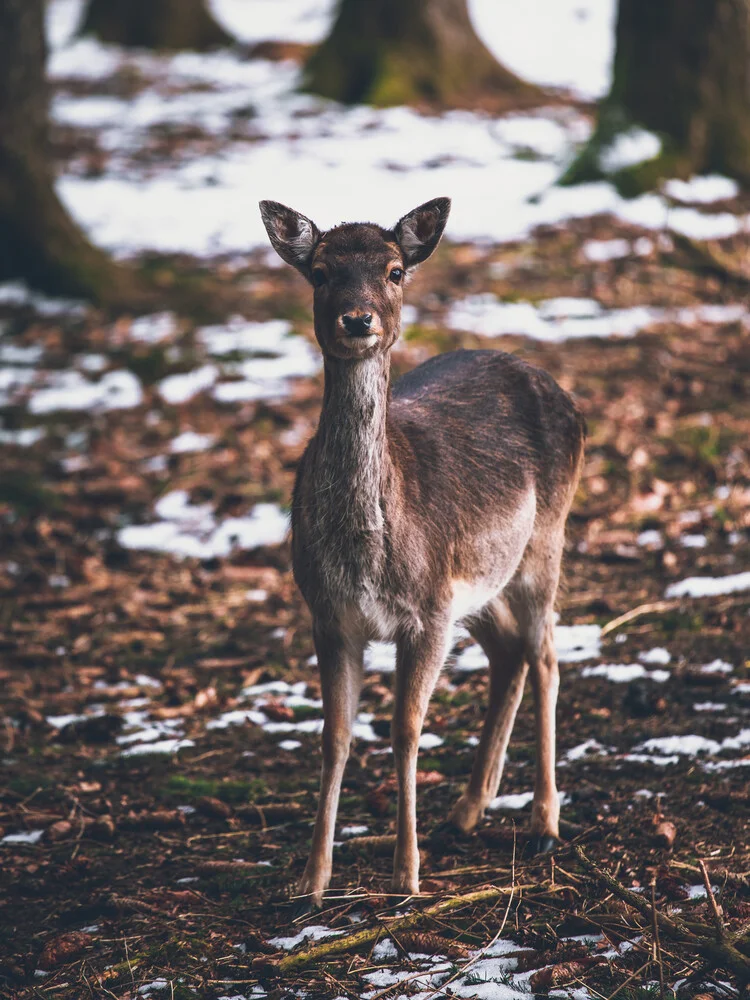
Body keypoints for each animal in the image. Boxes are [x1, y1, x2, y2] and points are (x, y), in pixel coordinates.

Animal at [262, 195, 592, 908]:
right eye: (320, 271)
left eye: (393, 270)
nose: (357, 319)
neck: (364, 557)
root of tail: (564, 393)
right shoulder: (328, 615)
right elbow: (334, 735)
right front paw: (311, 880)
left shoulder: (427, 613)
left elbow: (405, 729)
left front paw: (405, 877)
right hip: (479, 583)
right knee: (510, 652)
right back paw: (465, 812)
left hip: (544, 541)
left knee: (546, 654)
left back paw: (544, 824)